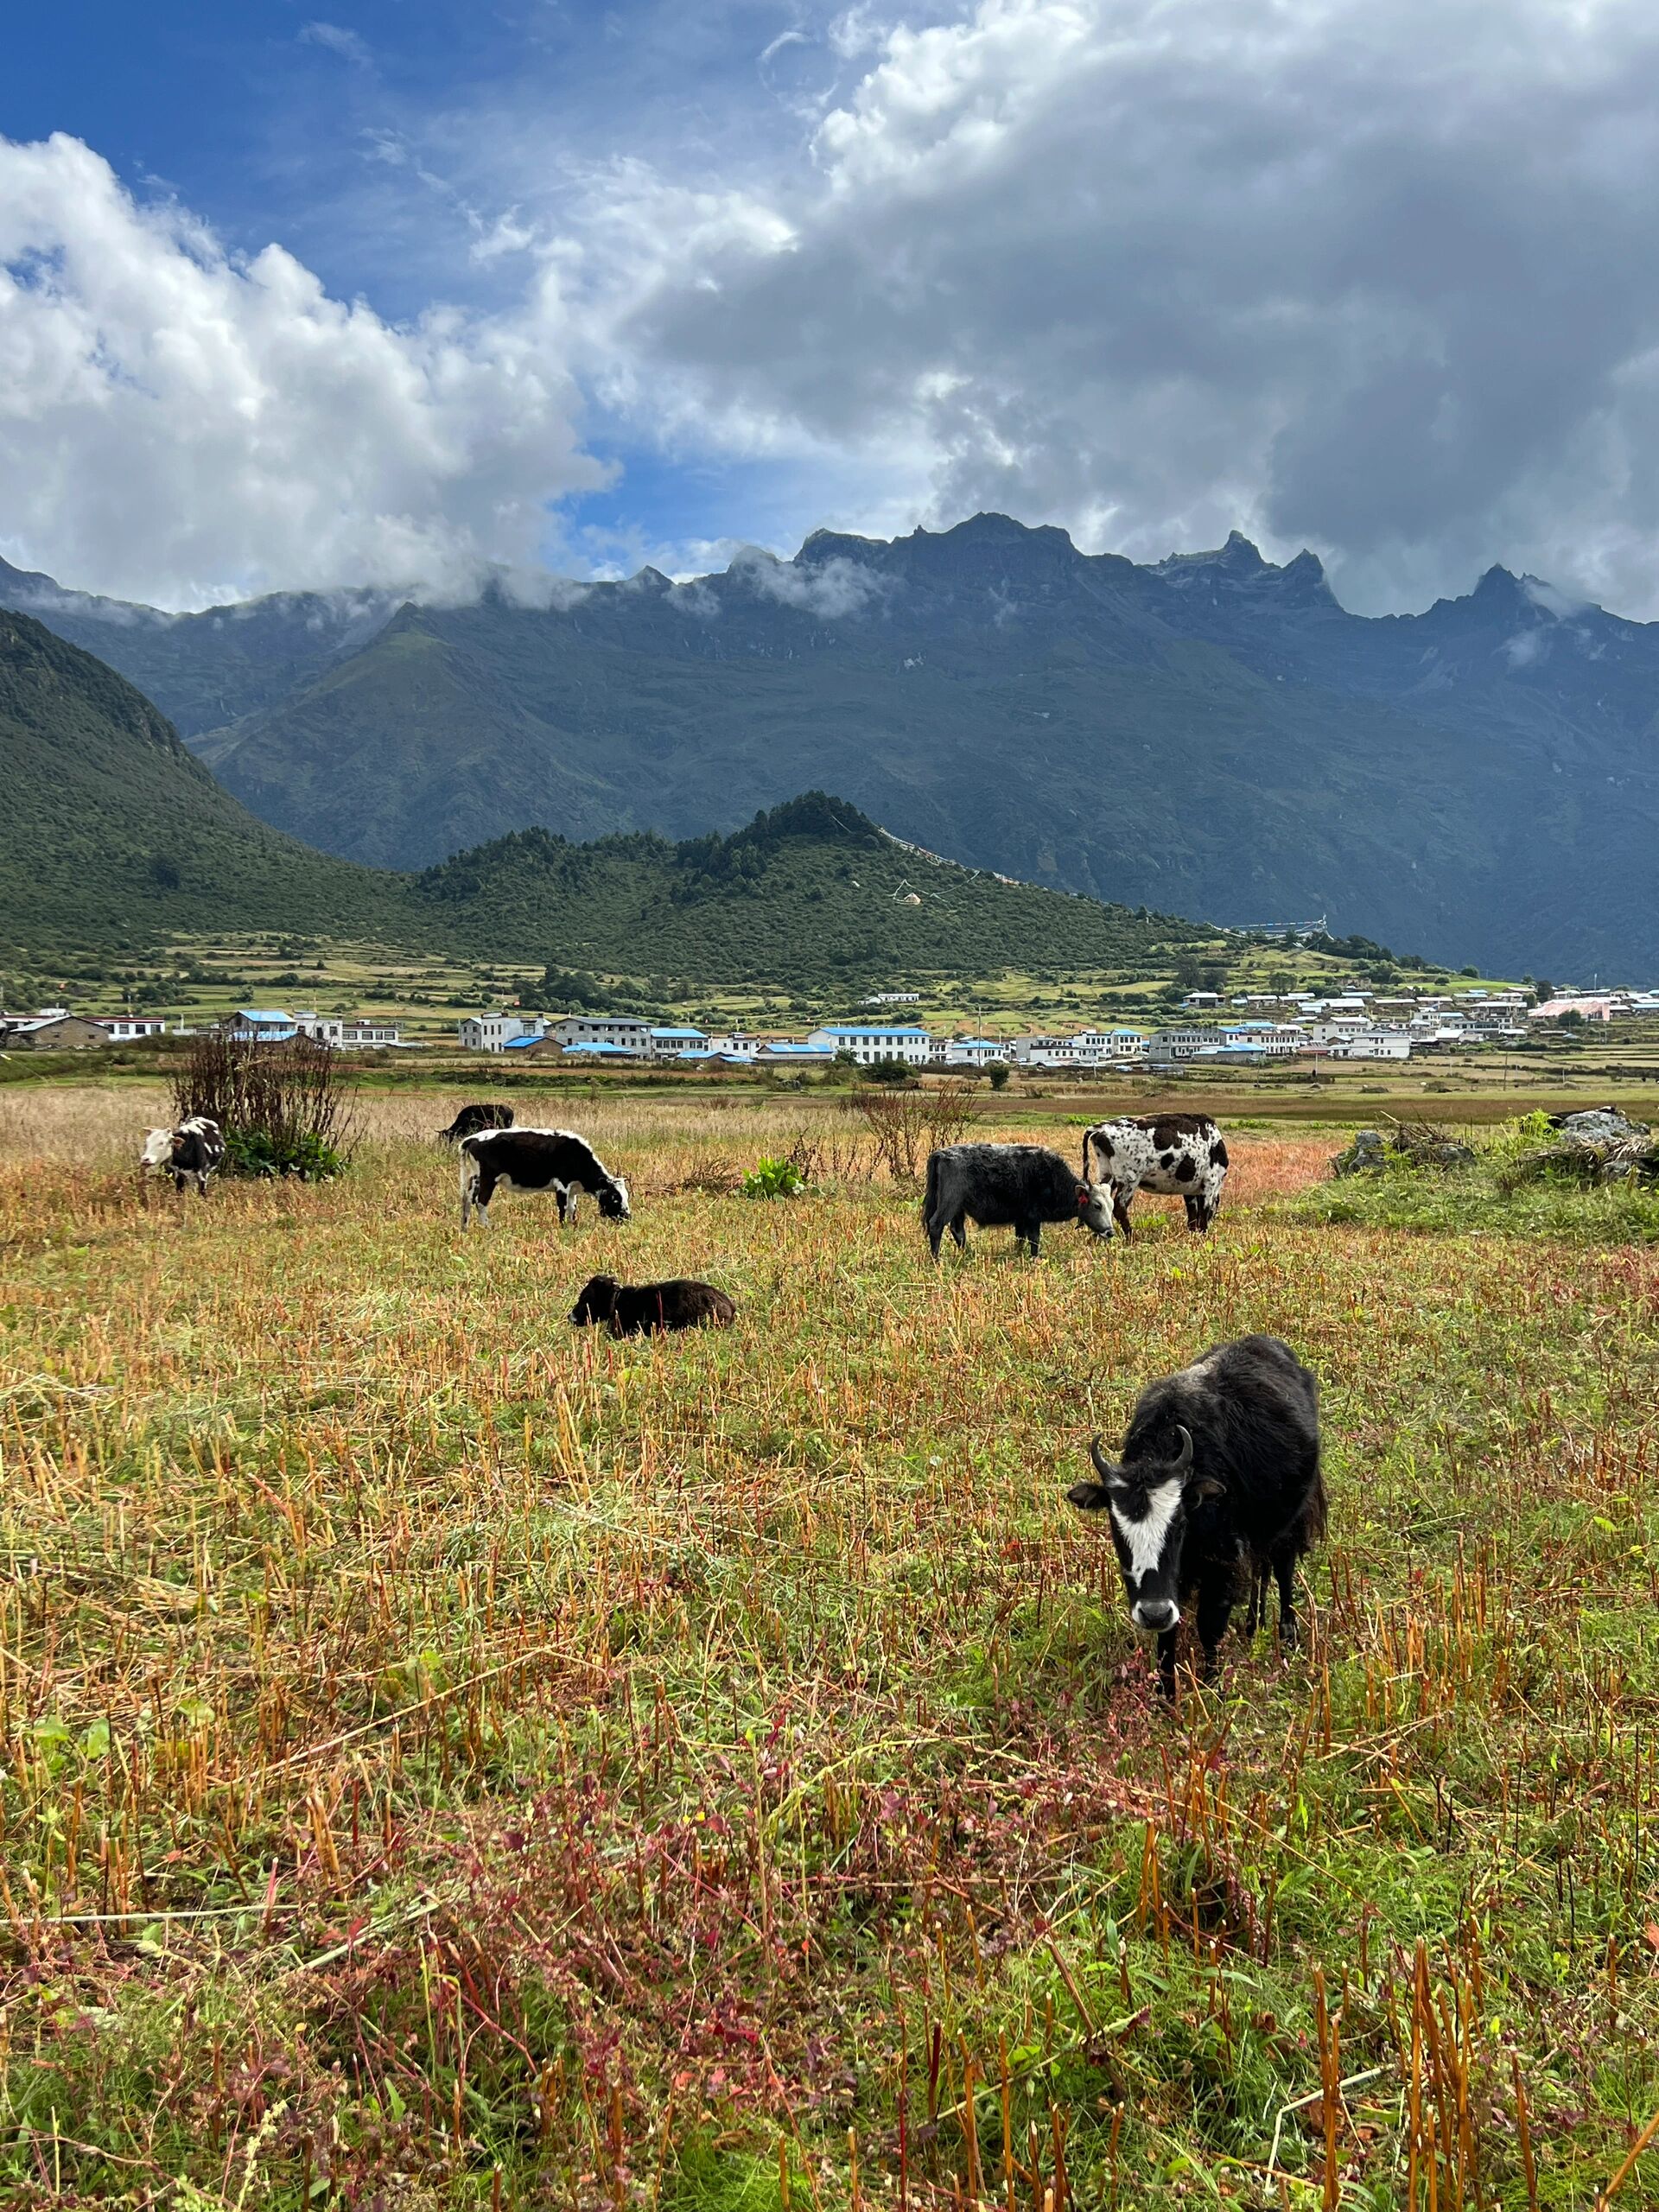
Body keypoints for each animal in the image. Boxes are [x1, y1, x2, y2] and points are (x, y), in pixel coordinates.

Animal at [457, 1123, 632, 1230]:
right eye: (615, 1197)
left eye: (626, 1196)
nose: (627, 1217)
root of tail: (473, 1138)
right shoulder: (562, 1184)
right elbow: (562, 1207)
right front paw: (562, 1228)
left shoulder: (572, 1189)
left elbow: (572, 1209)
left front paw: (573, 1226)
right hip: (488, 1178)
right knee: (481, 1201)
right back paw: (488, 1228)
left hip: (476, 1178)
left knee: (468, 1199)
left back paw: (465, 1228)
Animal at [929, 1141, 1110, 1265]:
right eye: (1097, 1205)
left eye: (1111, 1206)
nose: (1110, 1232)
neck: (1053, 1177)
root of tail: (941, 1154)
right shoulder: (1033, 1218)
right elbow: (1034, 1239)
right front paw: (1034, 1259)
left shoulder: (1021, 1219)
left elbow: (1020, 1238)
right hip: (949, 1204)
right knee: (936, 1226)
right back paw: (936, 1259)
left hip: (958, 1209)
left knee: (958, 1231)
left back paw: (966, 1254)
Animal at [1071, 1327, 1336, 1689]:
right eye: (1116, 1527)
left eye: (1179, 1523)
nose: (1153, 1613)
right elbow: (1168, 1639)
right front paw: (1166, 1694)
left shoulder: (1221, 1564)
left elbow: (1210, 1628)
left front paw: (1212, 1687)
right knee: (1261, 1569)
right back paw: (1253, 1624)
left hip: (1291, 1521)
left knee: (1282, 1568)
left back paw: (1287, 1637)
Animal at [1084, 1115, 1230, 1238]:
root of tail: (1101, 1128)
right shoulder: (1210, 1183)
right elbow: (1204, 1214)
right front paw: (1203, 1237)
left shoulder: (1190, 1187)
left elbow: (1193, 1215)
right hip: (1129, 1179)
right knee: (1119, 1207)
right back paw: (1131, 1237)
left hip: (1108, 1174)